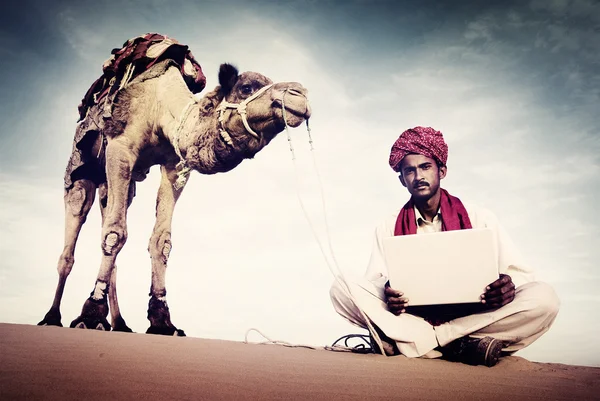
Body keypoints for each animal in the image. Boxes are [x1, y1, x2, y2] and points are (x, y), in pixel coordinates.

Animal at [38, 40, 310, 336]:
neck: (159, 105)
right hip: (80, 168)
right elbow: (115, 234)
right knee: (72, 237)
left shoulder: (174, 164)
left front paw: (162, 320)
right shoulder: (120, 148)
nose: (300, 94)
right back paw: (53, 317)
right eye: (246, 87)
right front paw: (90, 313)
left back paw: (120, 324)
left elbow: (161, 242)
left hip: (117, 185)